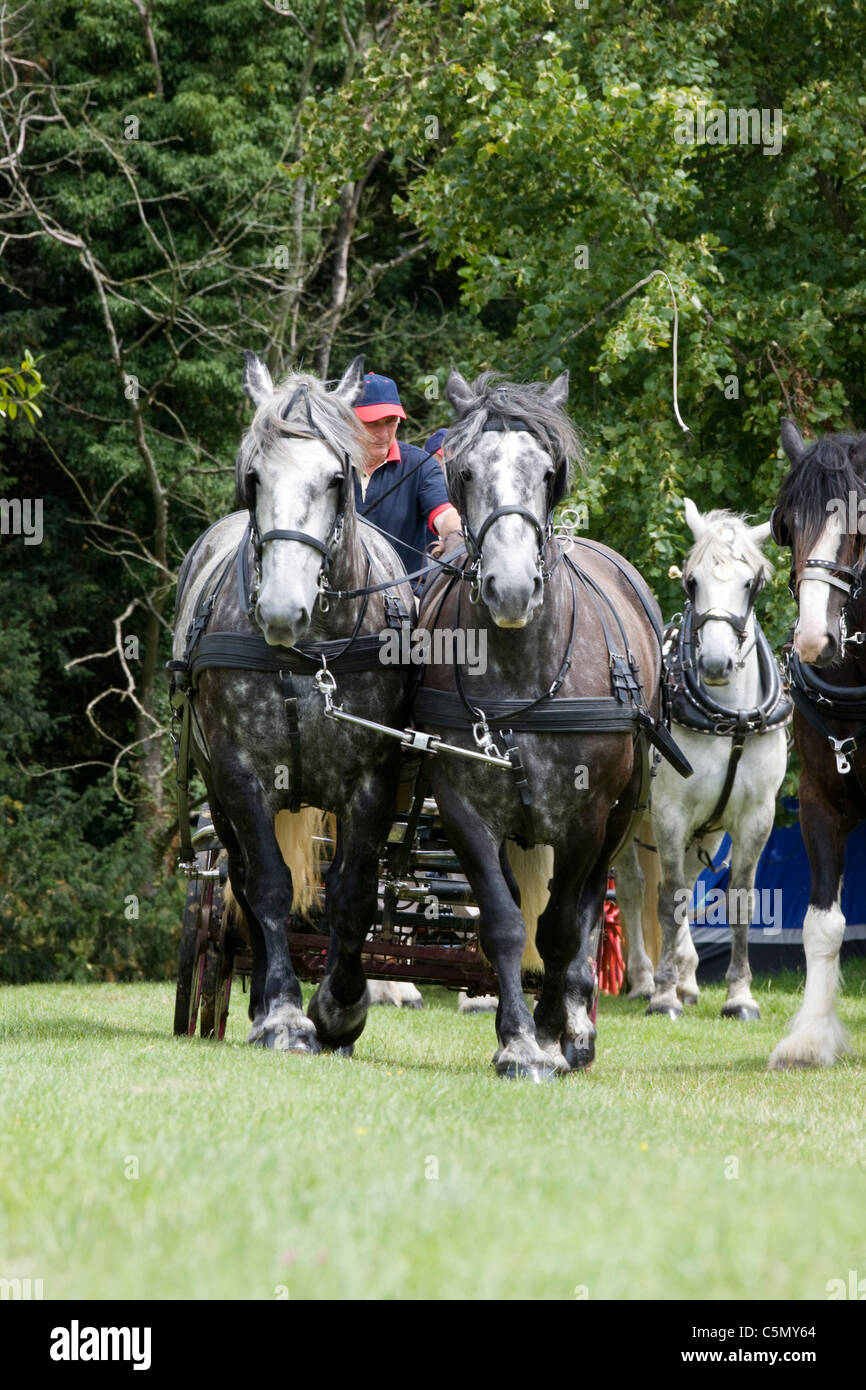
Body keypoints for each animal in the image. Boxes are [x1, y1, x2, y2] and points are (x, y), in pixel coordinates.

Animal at [170, 354, 417, 1054]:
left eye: (337, 480)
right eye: (253, 477)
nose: (282, 611)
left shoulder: (374, 779)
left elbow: (354, 894)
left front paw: (340, 1009)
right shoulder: (238, 774)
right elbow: (270, 888)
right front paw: (282, 1014)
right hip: (221, 795)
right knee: (244, 885)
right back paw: (260, 1002)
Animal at [413, 369, 688, 1079]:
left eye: (545, 472)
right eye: (465, 472)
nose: (511, 589)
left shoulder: (586, 816)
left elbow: (563, 926)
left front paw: (549, 1032)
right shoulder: (463, 808)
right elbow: (505, 922)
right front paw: (516, 1041)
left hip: (620, 818)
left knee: (588, 908)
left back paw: (577, 1023)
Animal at [614, 503, 790, 1019]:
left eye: (751, 582)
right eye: (692, 581)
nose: (713, 663)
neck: (730, 720)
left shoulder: (755, 817)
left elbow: (741, 899)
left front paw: (739, 996)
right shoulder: (671, 813)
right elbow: (668, 897)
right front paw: (663, 994)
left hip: (704, 830)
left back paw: (688, 977)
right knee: (632, 888)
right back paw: (642, 980)